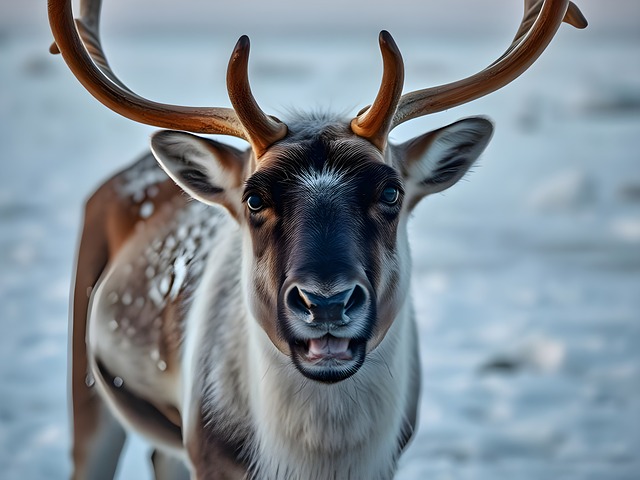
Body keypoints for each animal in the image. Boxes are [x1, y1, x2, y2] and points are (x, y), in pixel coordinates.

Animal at [48, 0, 587, 478]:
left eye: (391, 191)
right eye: (254, 198)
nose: (326, 301)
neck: (320, 457)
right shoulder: (213, 458)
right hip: (88, 387)